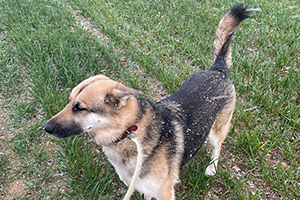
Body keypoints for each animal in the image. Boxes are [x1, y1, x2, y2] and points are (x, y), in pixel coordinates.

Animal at [44, 5, 251, 199]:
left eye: (80, 108)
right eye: (68, 102)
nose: (46, 127)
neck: (128, 131)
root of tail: (218, 69)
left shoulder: (164, 192)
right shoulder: (141, 186)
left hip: (217, 130)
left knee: (217, 148)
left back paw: (211, 168)